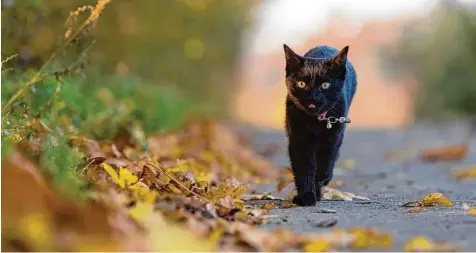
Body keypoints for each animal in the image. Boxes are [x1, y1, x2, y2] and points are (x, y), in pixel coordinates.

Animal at [282, 44, 356, 206]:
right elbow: (304, 169)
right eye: (301, 84)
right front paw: (306, 196)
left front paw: (320, 179)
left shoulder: (333, 138)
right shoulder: (298, 141)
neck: (315, 121)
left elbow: (326, 164)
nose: (312, 99)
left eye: (325, 85)